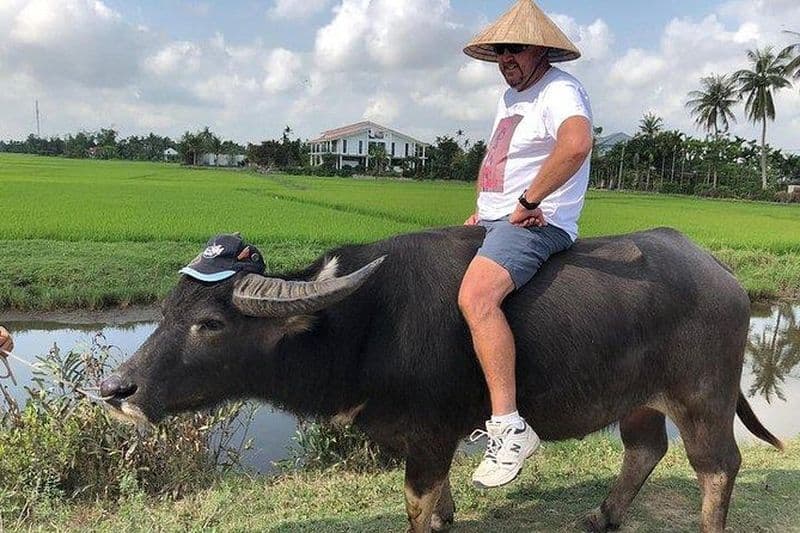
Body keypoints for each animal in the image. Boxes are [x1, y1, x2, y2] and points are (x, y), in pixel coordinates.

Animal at [102, 226, 782, 533]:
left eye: (211, 324)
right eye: (166, 310)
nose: (116, 391)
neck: (365, 325)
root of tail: (721, 271)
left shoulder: (427, 436)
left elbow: (416, 502)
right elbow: (439, 499)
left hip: (703, 394)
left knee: (717, 465)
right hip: (638, 398)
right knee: (644, 448)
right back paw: (601, 517)